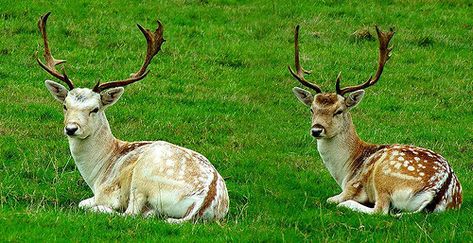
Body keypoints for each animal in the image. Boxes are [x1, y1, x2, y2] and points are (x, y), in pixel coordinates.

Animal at [37, 12, 229, 223]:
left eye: (95, 109)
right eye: (65, 106)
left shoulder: (107, 191)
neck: (98, 172)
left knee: (132, 213)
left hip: (143, 177)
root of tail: (205, 199)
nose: (71, 128)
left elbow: (85, 203)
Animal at [288, 25, 460, 214]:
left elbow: (331, 199)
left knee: (381, 209)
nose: (316, 129)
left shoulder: (353, 186)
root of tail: (440, 188)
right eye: (312, 109)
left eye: (339, 111)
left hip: (384, 176)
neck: (345, 171)